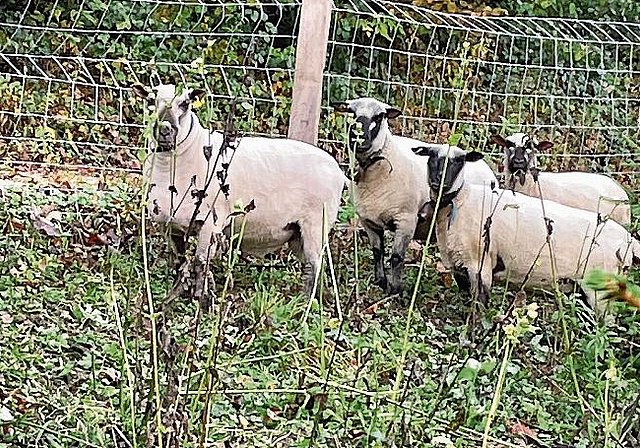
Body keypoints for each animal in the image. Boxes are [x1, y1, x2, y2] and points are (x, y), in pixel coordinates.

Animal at [412, 144, 640, 312]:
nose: (438, 181)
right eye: (431, 156)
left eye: (459, 160)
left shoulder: (480, 264)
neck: (460, 202)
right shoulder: (458, 263)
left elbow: (480, 306)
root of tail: (628, 241)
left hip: (602, 291)